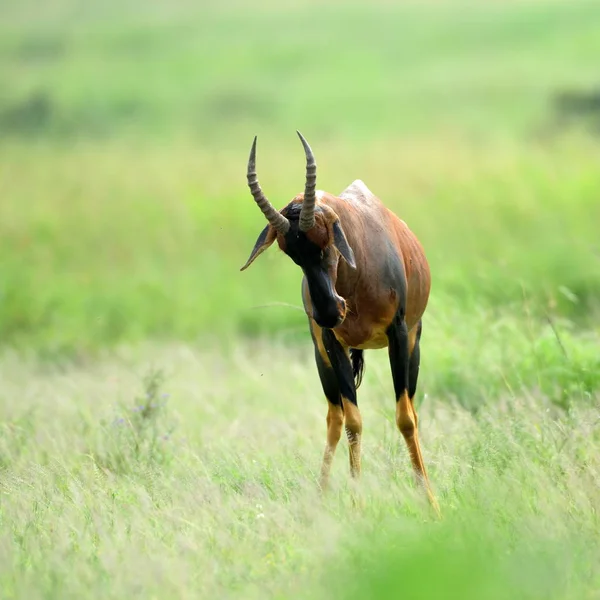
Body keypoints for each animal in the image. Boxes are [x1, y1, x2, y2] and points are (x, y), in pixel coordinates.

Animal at [239, 132, 440, 516]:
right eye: (290, 251)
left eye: (328, 237)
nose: (330, 312)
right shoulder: (332, 343)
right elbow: (353, 421)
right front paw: (357, 506)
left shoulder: (399, 334)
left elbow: (405, 417)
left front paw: (432, 504)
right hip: (323, 356)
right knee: (335, 417)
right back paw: (318, 500)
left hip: (414, 342)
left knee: (409, 411)